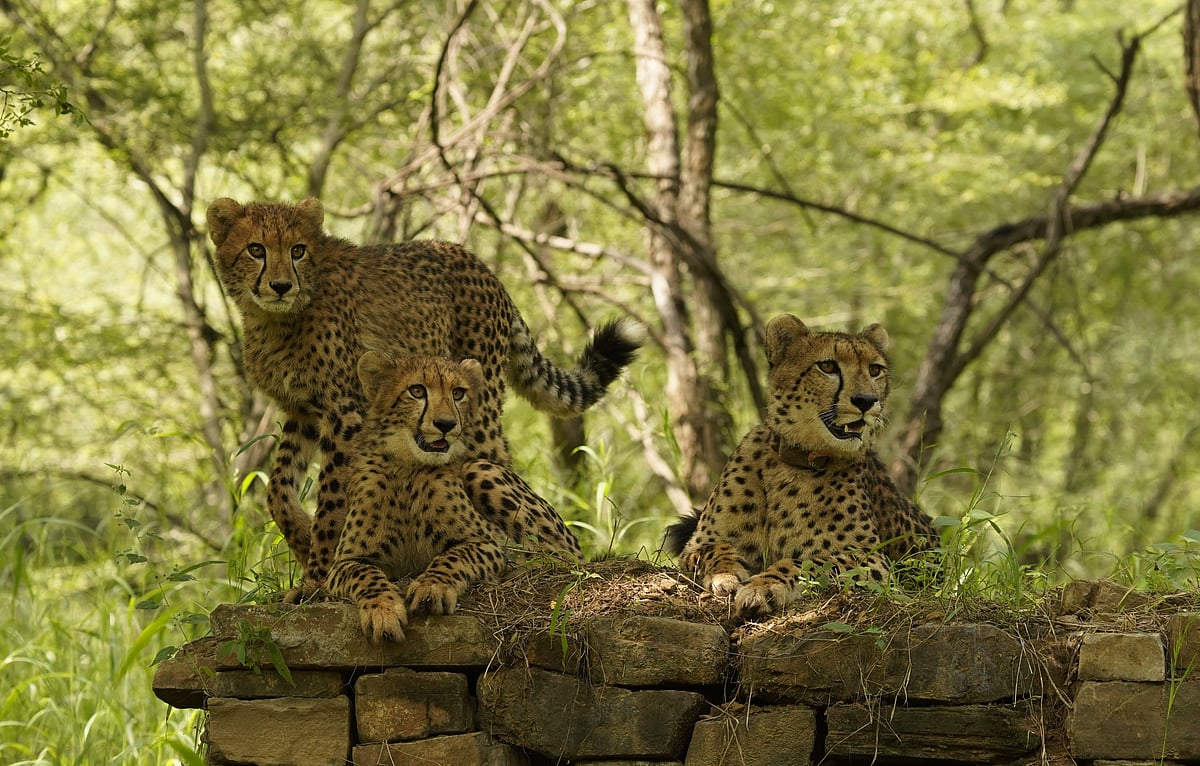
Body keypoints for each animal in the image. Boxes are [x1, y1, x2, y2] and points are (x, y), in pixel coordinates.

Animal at [207, 197, 640, 601]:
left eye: (297, 250)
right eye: (256, 249)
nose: (281, 286)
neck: (276, 318)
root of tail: (480, 264)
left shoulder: (344, 412)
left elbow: (331, 498)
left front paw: (317, 576)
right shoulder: (302, 411)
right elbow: (278, 487)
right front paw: (300, 536)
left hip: (477, 409)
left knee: (500, 468)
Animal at [326, 352, 582, 643]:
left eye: (458, 393)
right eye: (416, 391)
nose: (446, 424)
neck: (408, 467)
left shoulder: (489, 543)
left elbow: (453, 557)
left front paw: (432, 587)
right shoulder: (345, 562)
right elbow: (366, 575)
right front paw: (383, 611)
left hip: (479, 468)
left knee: (559, 556)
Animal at [663, 313, 936, 619]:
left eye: (875, 369)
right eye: (827, 366)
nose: (867, 401)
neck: (797, 460)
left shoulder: (872, 560)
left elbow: (807, 562)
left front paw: (764, 585)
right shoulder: (697, 544)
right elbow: (716, 548)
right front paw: (726, 574)